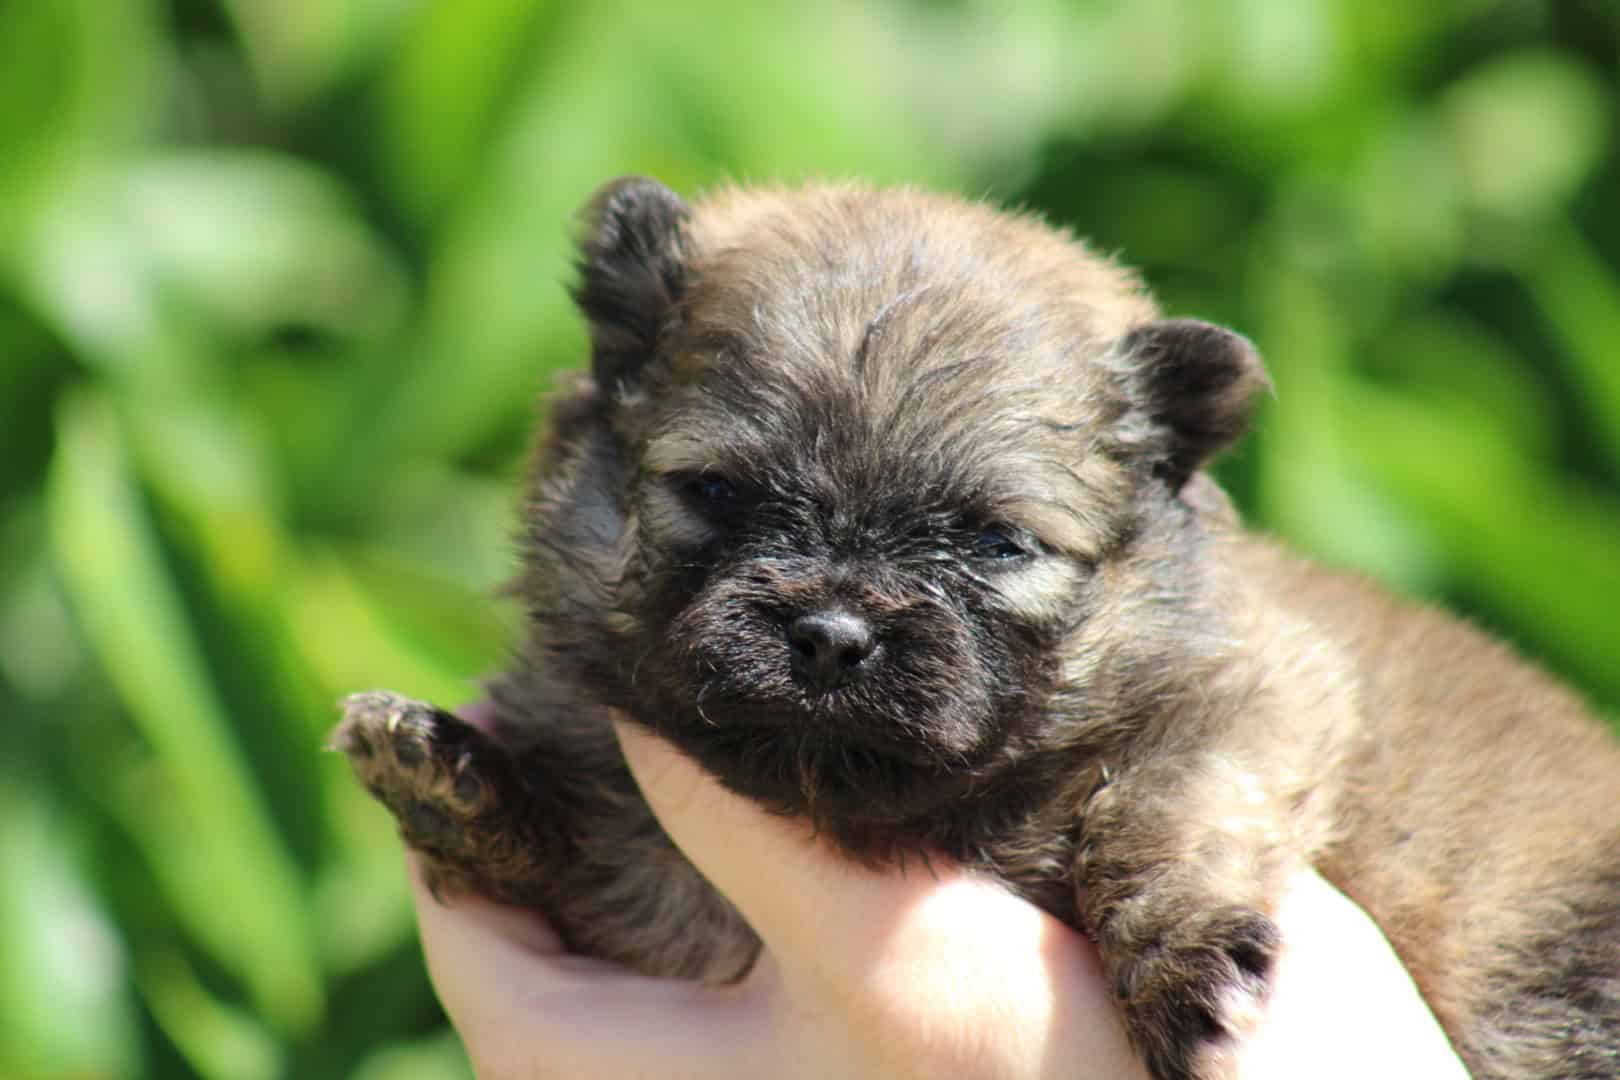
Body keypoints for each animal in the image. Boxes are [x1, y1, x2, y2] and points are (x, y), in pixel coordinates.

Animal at [332, 179, 1620, 1080]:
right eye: (718, 493)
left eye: (998, 542)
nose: (830, 635)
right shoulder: (645, 902)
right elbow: (573, 844)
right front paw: (449, 779)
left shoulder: (1265, 687)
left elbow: (1170, 806)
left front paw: (1186, 963)